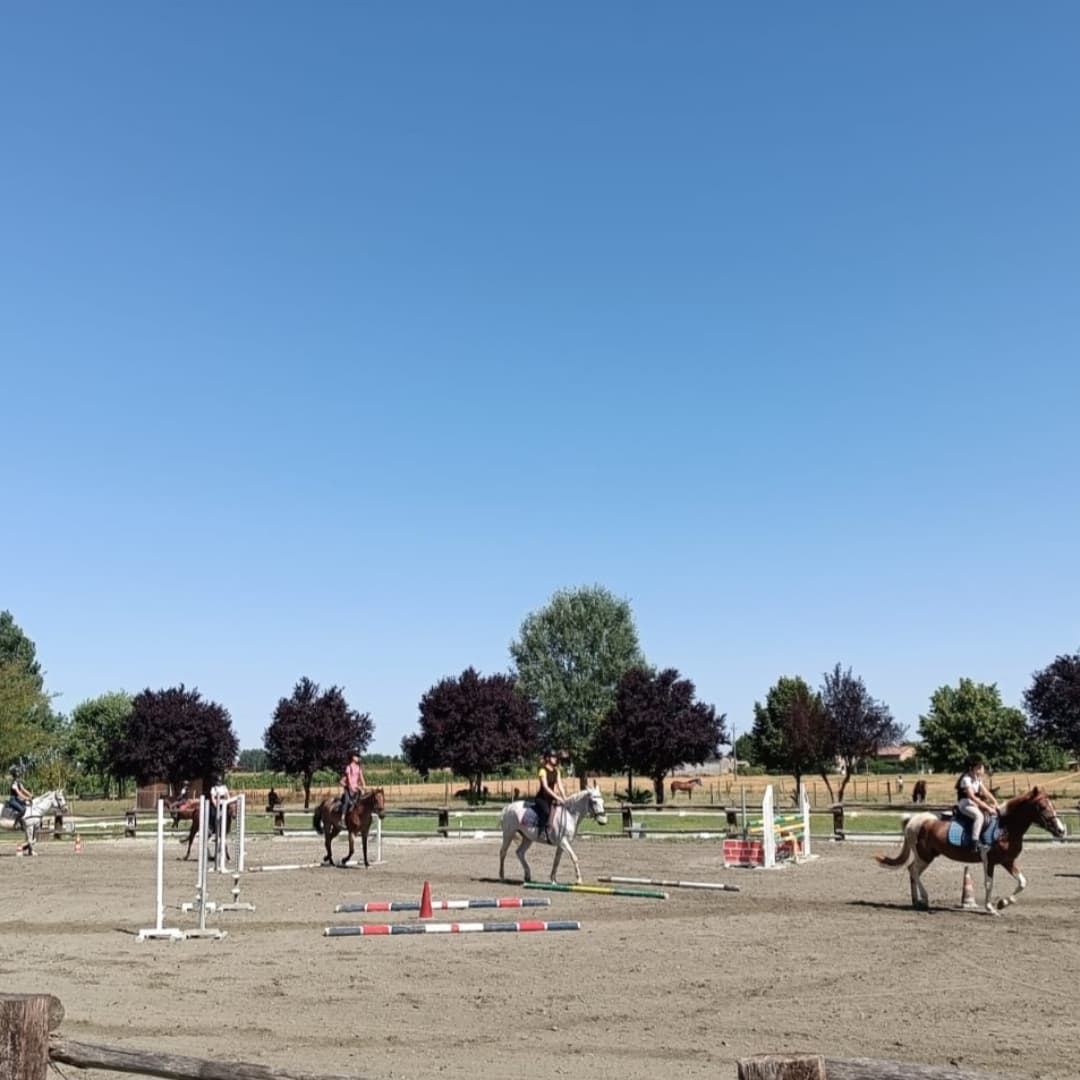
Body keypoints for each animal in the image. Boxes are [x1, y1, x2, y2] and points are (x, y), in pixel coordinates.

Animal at [876, 786, 1067, 914]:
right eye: (1042, 807)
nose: (1061, 830)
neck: (1006, 827)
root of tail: (915, 820)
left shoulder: (1007, 861)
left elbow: (1022, 882)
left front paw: (1003, 902)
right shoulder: (989, 861)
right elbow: (989, 883)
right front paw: (990, 907)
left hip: (926, 856)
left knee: (912, 870)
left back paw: (917, 901)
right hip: (925, 856)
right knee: (914, 871)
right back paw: (925, 898)